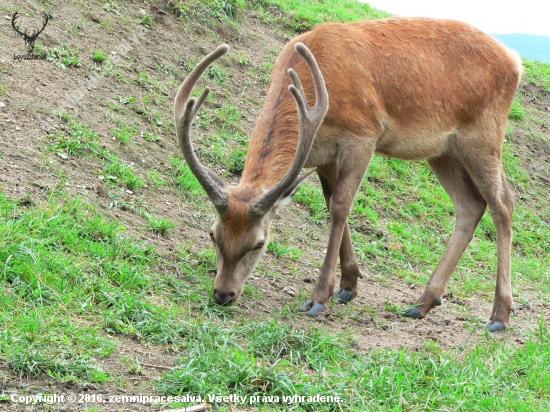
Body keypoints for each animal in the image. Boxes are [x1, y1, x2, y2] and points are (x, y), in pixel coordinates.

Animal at [175, 17, 524, 332]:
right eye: (213, 234)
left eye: (260, 243)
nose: (223, 294)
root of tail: (516, 62)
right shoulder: (322, 153)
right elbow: (331, 201)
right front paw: (348, 284)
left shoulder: (363, 135)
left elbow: (341, 206)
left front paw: (319, 297)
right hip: (443, 151)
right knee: (470, 205)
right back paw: (423, 302)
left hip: (483, 135)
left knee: (503, 203)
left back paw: (499, 315)